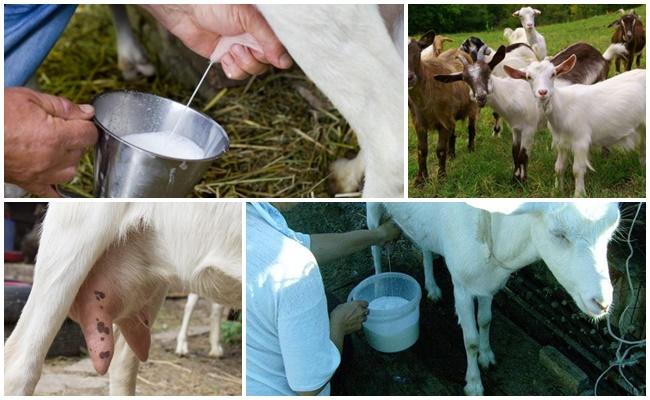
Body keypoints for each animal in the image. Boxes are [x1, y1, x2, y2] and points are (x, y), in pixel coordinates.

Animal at [364, 202, 616, 396]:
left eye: (610, 235)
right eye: (558, 234)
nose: (602, 303)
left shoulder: (489, 283)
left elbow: (485, 320)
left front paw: (486, 356)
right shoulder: (462, 288)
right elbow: (470, 340)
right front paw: (474, 384)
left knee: (424, 245)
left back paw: (433, 287)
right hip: (373, 208)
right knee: (374, 243)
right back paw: (379, 285)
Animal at [408, 31, 478, 184]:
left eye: (418, 52)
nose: (409, 78)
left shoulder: (443, 120)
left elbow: (440, 150)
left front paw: (441, 177)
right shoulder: (419, 122)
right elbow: (422, 150)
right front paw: (421, 180)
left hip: (472, 106)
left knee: (471, 128)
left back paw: (471, 149)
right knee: (453, 133)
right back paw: (451, 154)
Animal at [504, 57, 644, 197]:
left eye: (553, 74)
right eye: (529, 77)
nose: (543, 92)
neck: (563, 106)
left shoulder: (580, 140)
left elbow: (577, 170)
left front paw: (579, 194)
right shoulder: (562, 142)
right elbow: (559, 167)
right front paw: (557, 190)